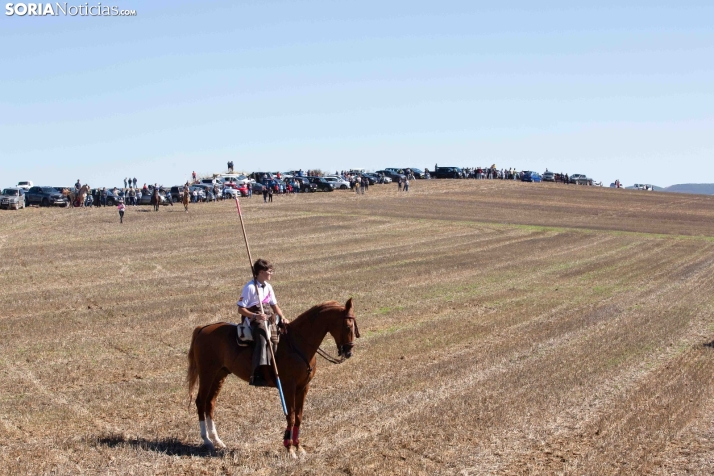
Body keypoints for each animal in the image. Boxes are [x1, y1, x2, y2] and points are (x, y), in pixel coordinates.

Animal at [186, 298, 358, 458]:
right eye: (348, 326)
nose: (348, 352)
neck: (297, 344)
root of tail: (203, 329)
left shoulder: (303, 387)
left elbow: (299, 417)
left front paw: (298, 447)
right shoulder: (288, 387)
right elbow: (291, 416)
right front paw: (290, 449)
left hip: (220, 374)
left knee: (210, 403)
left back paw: (217, 440)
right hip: (207, 373)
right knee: (200, 402)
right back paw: (207, 440)